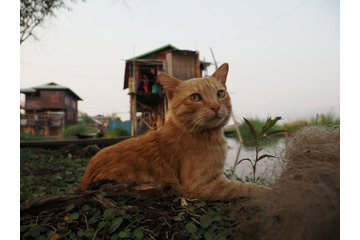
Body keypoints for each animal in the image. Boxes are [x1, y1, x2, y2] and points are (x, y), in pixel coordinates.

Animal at [81, 62, 268, 200]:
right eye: (195, 97)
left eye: (220, 94)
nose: (216, 107)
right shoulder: (202, 185)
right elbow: (247, 188)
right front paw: (268, 191)